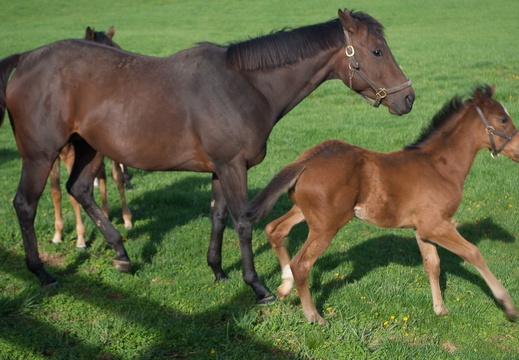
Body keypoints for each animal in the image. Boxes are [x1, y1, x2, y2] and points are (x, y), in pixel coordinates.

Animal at [50, 26, 133, 249]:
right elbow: (56, 190)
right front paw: (58, 233)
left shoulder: (72, 154)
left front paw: (80, 238)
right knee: (102, 175)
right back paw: (105, 213)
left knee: (116, 176)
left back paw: (126, 218)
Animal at [248, 85, 519, 324]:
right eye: (503, 119)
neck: (440, 166)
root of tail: (306, 162)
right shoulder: (436, 225)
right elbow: (473, 253)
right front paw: (507, 305)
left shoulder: (423, 230)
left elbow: (433, 265)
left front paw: (440, 308)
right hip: (327, 225)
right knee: (301, 264)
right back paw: (314, 316)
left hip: (304, 212)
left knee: (275, 229)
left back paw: (284, 286)